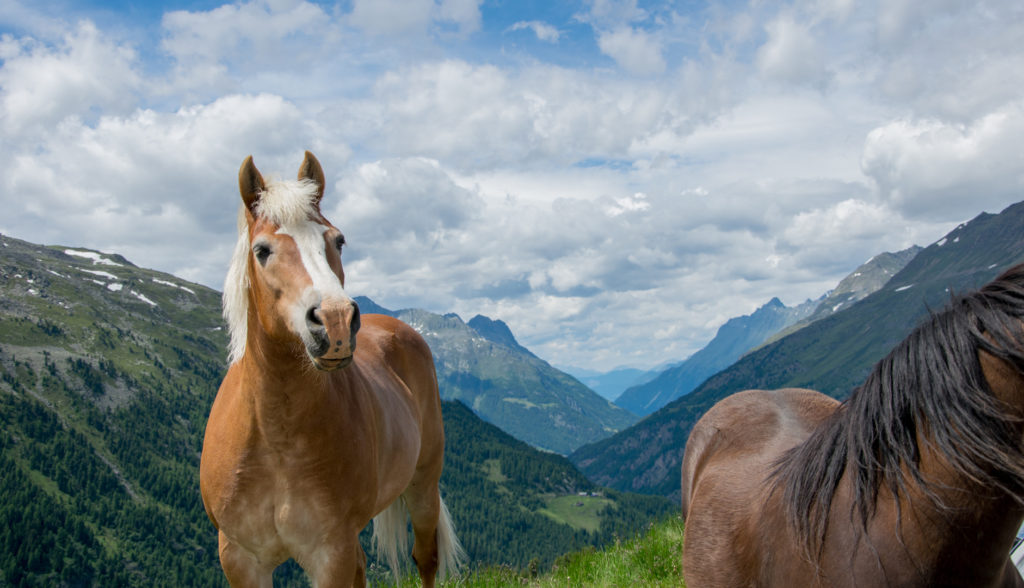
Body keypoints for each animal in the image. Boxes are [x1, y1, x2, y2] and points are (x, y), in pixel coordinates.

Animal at [200, 153, 464, 588]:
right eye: (262, 250)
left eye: (338, 240)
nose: (336, 321)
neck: (273, 438)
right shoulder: (240, 559)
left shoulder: (330, 552)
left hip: (424, 484)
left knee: (425, 558)